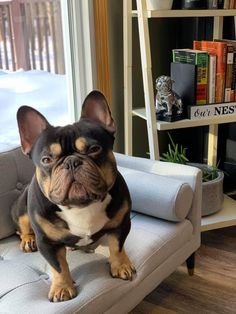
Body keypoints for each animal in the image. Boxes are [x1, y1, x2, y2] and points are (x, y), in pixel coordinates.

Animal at [11, 91, 136, 302]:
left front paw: (121, 266)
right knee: (23, 226)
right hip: (21, 208)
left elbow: (117, 247)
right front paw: (62, 287)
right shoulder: (47, 243)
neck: (80, 206)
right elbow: (58, 266)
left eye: (94, 149)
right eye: (46, 159)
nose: (71, 162)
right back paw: (28, 240)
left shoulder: (120, 225)